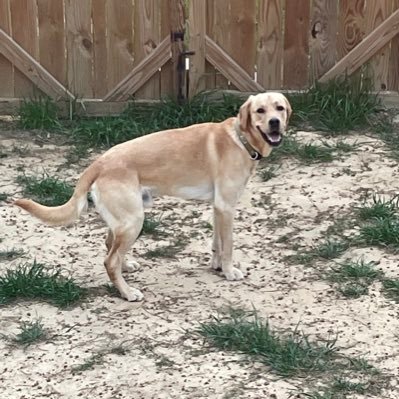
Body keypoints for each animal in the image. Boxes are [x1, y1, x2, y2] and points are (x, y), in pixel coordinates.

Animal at [15, 92, 292, 302]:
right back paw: (127, 293)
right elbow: (229, 245)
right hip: (134, 220)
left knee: (110, 246)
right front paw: (229, 271)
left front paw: (216, 266)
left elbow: (217, 242)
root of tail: (99, 162)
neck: (240, 138)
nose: (275, 122)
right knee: (110, 260)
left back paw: (126, 267)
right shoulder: (226, 207)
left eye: (279, 108)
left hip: (124, 220)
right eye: (260, 111)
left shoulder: (218, 207)